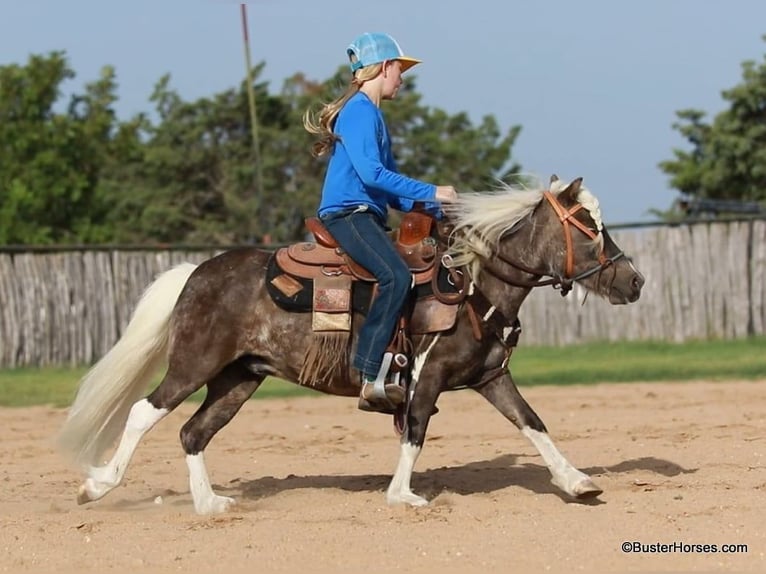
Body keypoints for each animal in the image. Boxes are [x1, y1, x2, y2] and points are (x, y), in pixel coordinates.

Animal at [60, 178, 644, 516]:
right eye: (589, 226)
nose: (634, 281)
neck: (474, 287)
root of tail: (196, 272)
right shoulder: (426, 378)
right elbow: (414, 432)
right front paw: (402, 494)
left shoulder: (491, 378)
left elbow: (533, 423)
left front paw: (578, 482)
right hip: (194, 365)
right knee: (144, 412)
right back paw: (98, 485)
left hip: (238, 379)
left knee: (192, 432)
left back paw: (210, 504)